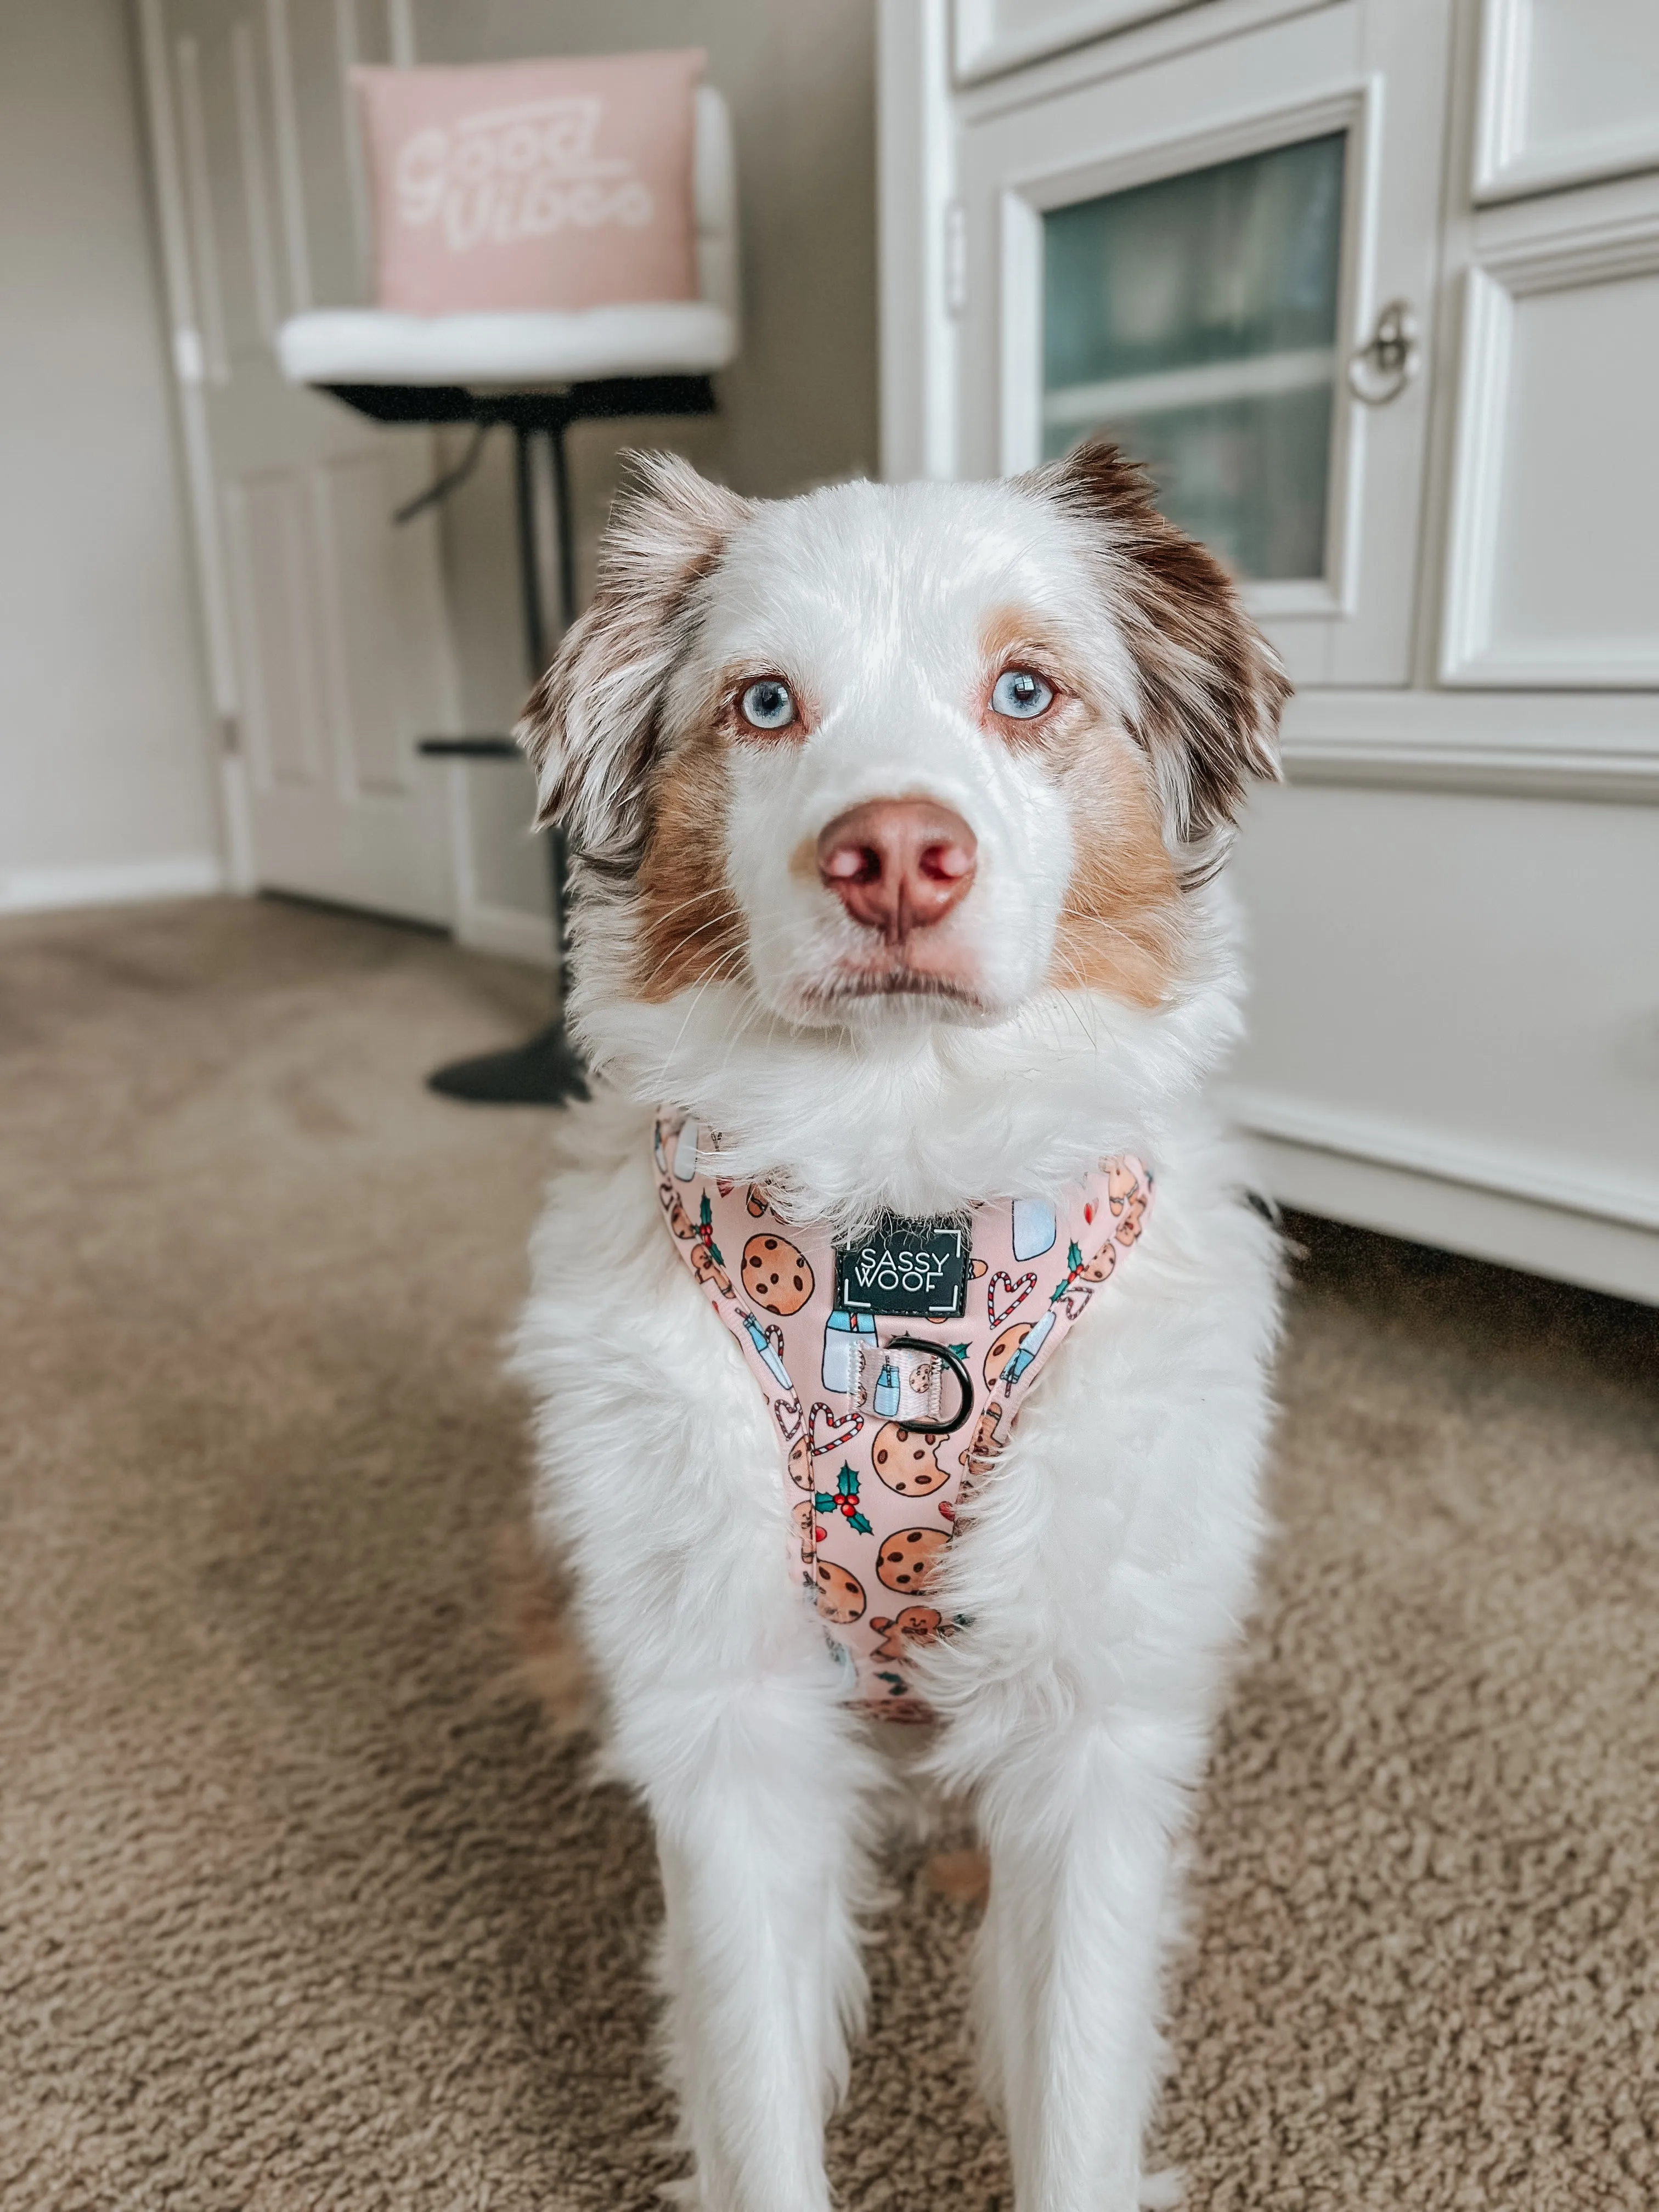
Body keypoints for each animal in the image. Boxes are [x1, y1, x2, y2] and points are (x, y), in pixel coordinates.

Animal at [513, 440, 1291, 2203]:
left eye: (1025, 691)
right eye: (765, 704)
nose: (894, 857)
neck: (898, 1195)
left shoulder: (1091, 1737)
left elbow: (1074, 2098)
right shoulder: (727, 1726)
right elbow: (755, 2100)